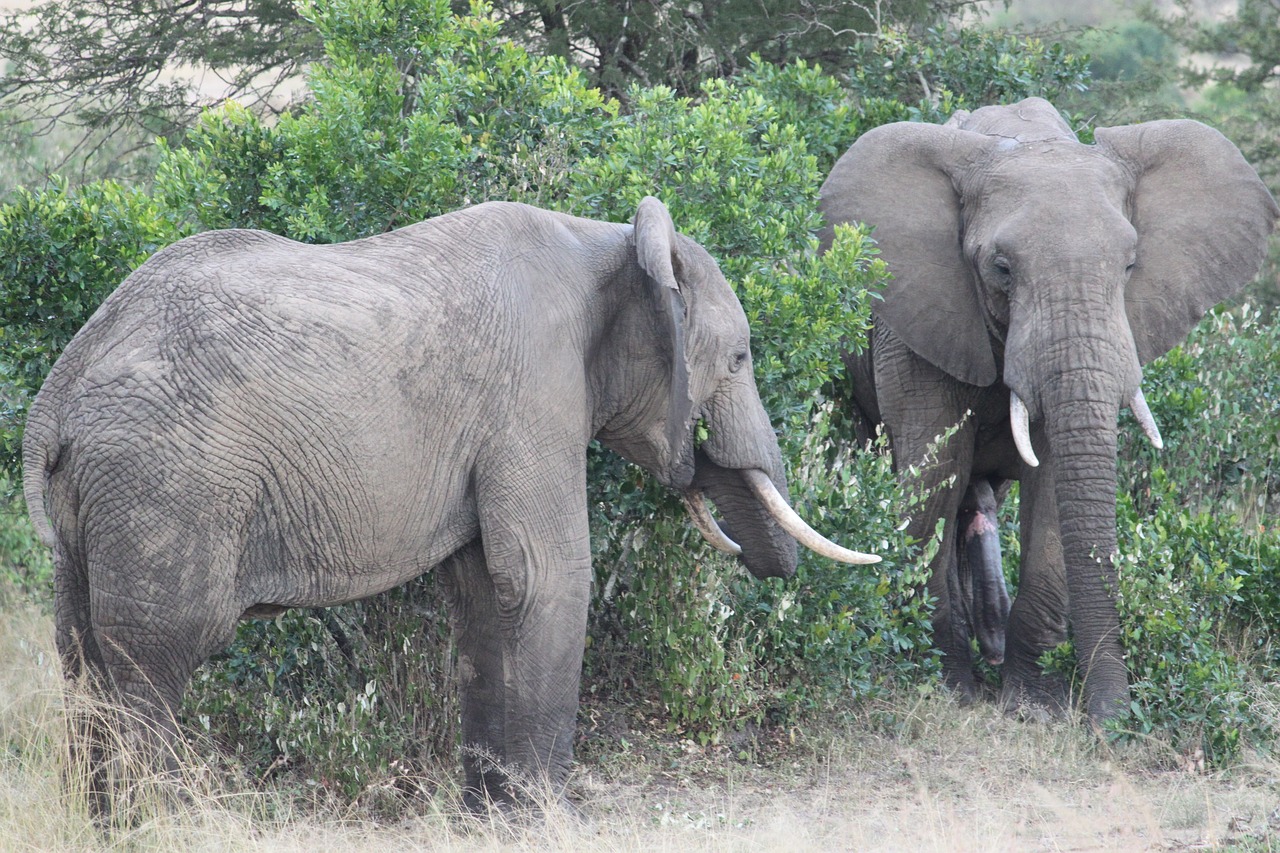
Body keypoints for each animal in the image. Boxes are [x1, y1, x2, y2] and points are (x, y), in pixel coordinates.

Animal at [22, 195, 880, 814]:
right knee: (154, 658)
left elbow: (483, 595)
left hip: (98, 502)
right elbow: (546, 576)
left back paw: (100, 823)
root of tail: (58, 390)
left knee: (82, 654)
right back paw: (153, 823)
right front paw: (547, 820)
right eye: (738, 358)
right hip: (167, 483)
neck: (610, 242)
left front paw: (487, 818)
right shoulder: (533, 395)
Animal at [819, 101, 1280, 722]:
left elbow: (1056, 481)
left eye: (1130, 265)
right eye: (1001, 268)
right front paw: (946, 690)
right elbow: (933, 474)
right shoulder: (913, 321)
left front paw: (1032, 708)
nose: (1116, 722)